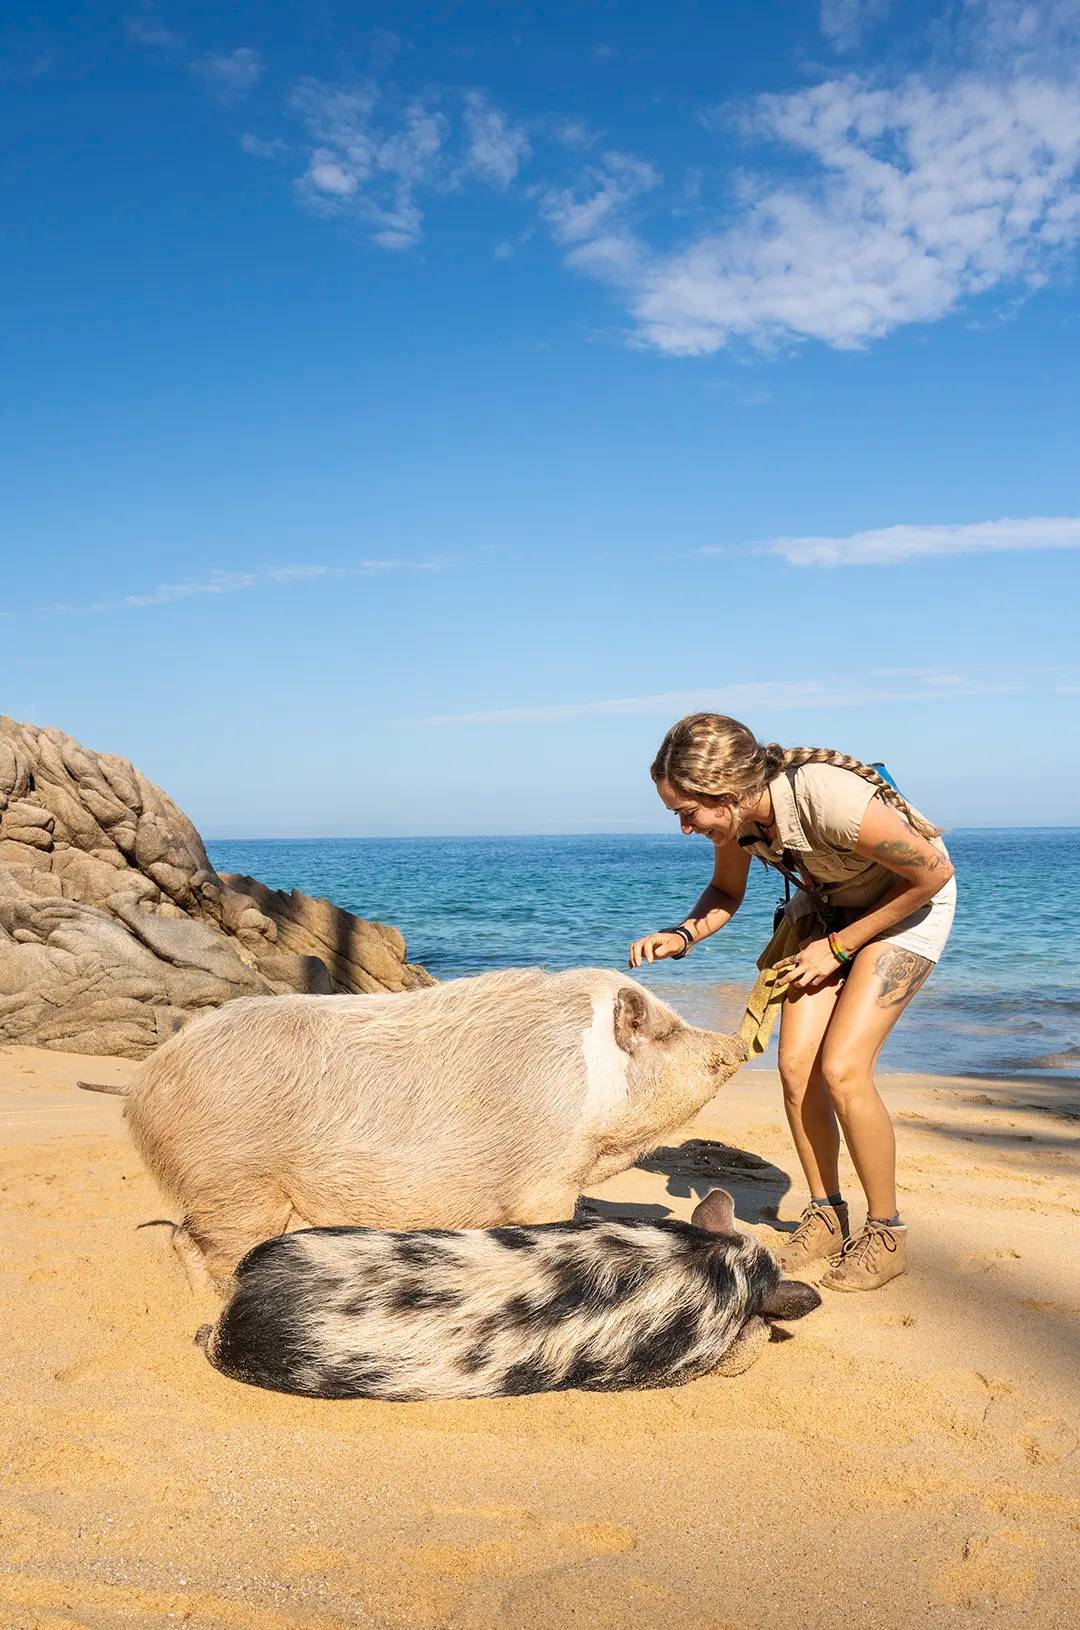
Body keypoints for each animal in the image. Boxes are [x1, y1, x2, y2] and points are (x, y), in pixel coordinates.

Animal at [83, 967, 747, 1293]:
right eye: (666, 1031)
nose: (735, 1044)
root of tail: (141, 1081)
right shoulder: (546, 1176)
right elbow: (552, 1221)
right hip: (234, 1180)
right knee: (196, 1241)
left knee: (182, 1236)